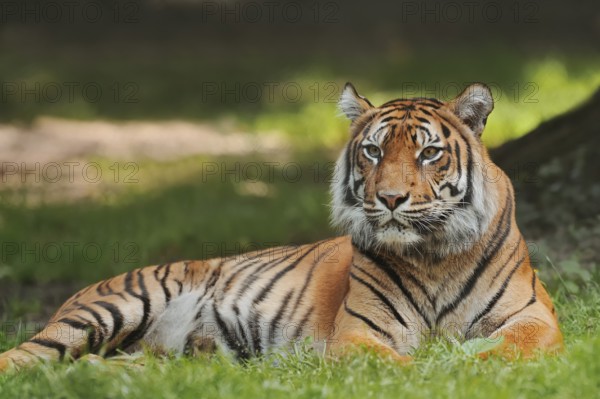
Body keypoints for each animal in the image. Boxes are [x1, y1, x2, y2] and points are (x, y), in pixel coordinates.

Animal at [0, 81, 564, 372]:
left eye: (429, 153)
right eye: (373, 151)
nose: (390, 199)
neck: (433, 255)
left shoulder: (534, 316)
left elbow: (511, 348)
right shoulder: (357, 334)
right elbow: (404, 365)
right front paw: (441, 367)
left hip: (154, 358)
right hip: (112, 307)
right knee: (25, 355)